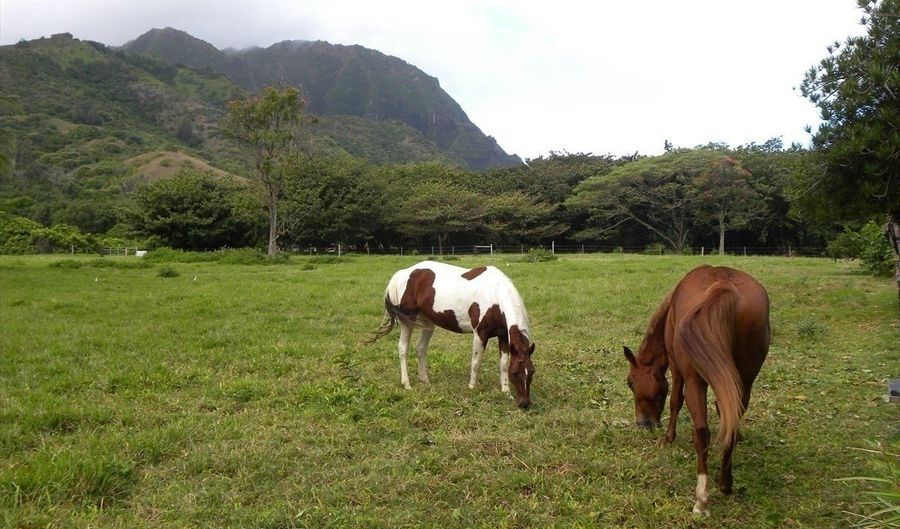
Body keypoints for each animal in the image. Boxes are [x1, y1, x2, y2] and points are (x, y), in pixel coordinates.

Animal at [366, 260, 536, 408]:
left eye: (532, 372)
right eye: (515, 373)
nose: (524, 404)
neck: (495, 295)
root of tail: (403, 273)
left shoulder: (504, 336)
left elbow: (503, 364)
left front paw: (506, 392)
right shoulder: (480, 334)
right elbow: (476, 362)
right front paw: (472, 386)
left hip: (427, 323)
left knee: (421, 349)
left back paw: (425, 380)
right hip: (407, 322)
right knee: (403, 349)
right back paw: (407, 384)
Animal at [624, 266, 768, 512]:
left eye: (630, 382)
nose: (643, 423)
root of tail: (723, 287)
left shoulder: (675, 367)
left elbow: (674, 402)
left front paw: (668, 439)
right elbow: (724, 410)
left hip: (694, 382)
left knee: (701, 431)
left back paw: (702, 497)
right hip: (745, 380)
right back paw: (725, 483)